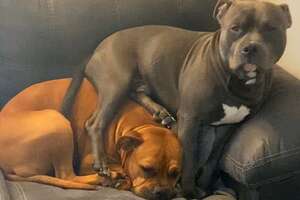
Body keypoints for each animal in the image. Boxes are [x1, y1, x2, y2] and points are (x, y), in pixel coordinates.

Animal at [1, 79, 182, 199]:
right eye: (146, 168)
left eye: (175, 173)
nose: (163, 192)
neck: (139, 123)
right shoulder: (89, 162)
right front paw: (117, 176)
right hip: (56, 120)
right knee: (67, 176)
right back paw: (107, 178)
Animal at [62, 0, 292, 197]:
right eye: (235, 28)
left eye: (271, 28)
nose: (251, 47)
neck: (236, 81)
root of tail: (97, 48)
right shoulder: (190, 119)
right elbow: (189, 159)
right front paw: (188, 191)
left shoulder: (228, 128)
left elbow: (211, 160)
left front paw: (204, 187)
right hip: (116, 82)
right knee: (95, 123)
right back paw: (101, 162)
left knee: (136, 93)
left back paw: (160, 112)